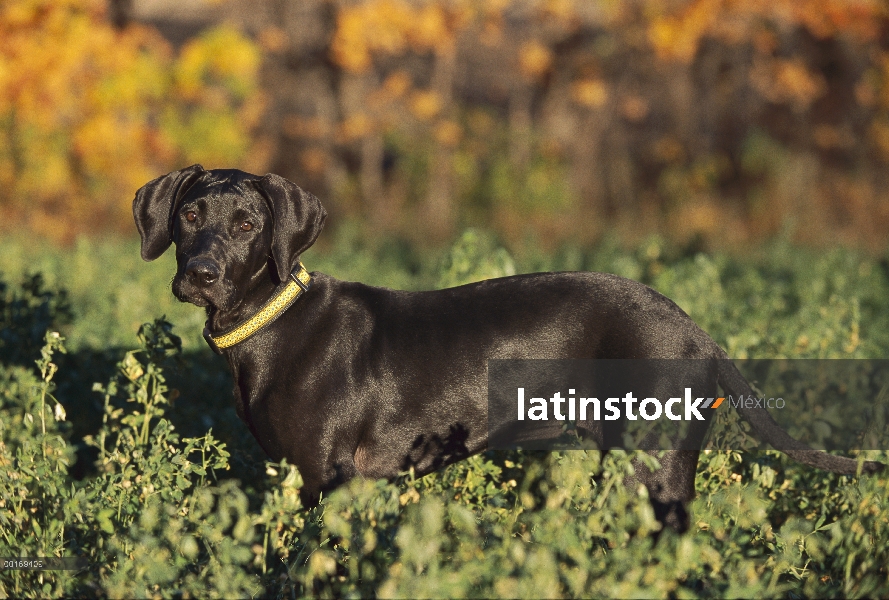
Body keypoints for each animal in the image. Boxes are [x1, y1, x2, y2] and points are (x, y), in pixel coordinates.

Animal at [132, 165, 880, 528]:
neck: (269, 324)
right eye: (189, 215)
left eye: (247, 225)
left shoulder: (329, 478)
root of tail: (700, 333)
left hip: (653, 466)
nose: (199, 275)